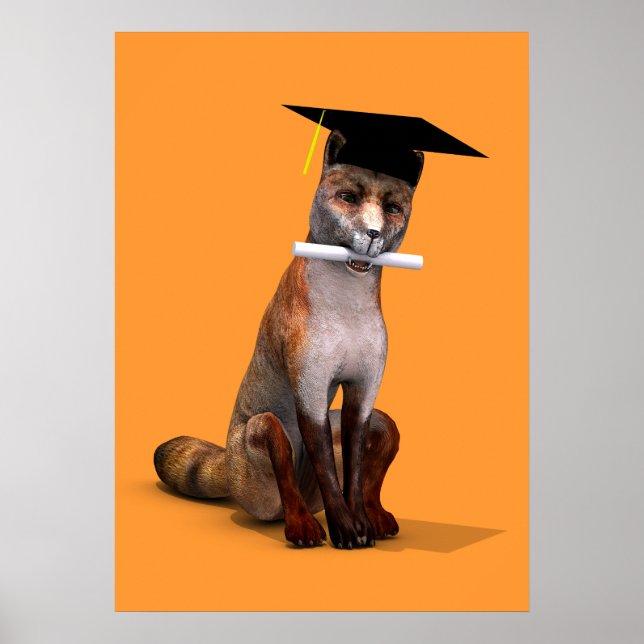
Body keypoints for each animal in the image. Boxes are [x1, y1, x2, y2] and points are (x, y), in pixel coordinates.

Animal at [154, 128, 424, 549]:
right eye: (348, 197)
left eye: (393, 207)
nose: (373, 234)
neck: (347, 304)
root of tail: (225, 464)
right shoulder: (309, 387)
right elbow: (328, 467)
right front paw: (345, 529)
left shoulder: (363, 393)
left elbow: (355, 468)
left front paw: (360, 522)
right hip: (259, 439)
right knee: (279, 454)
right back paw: (302, 526)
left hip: (378, 424)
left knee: (380, 439)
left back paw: (376, 518)